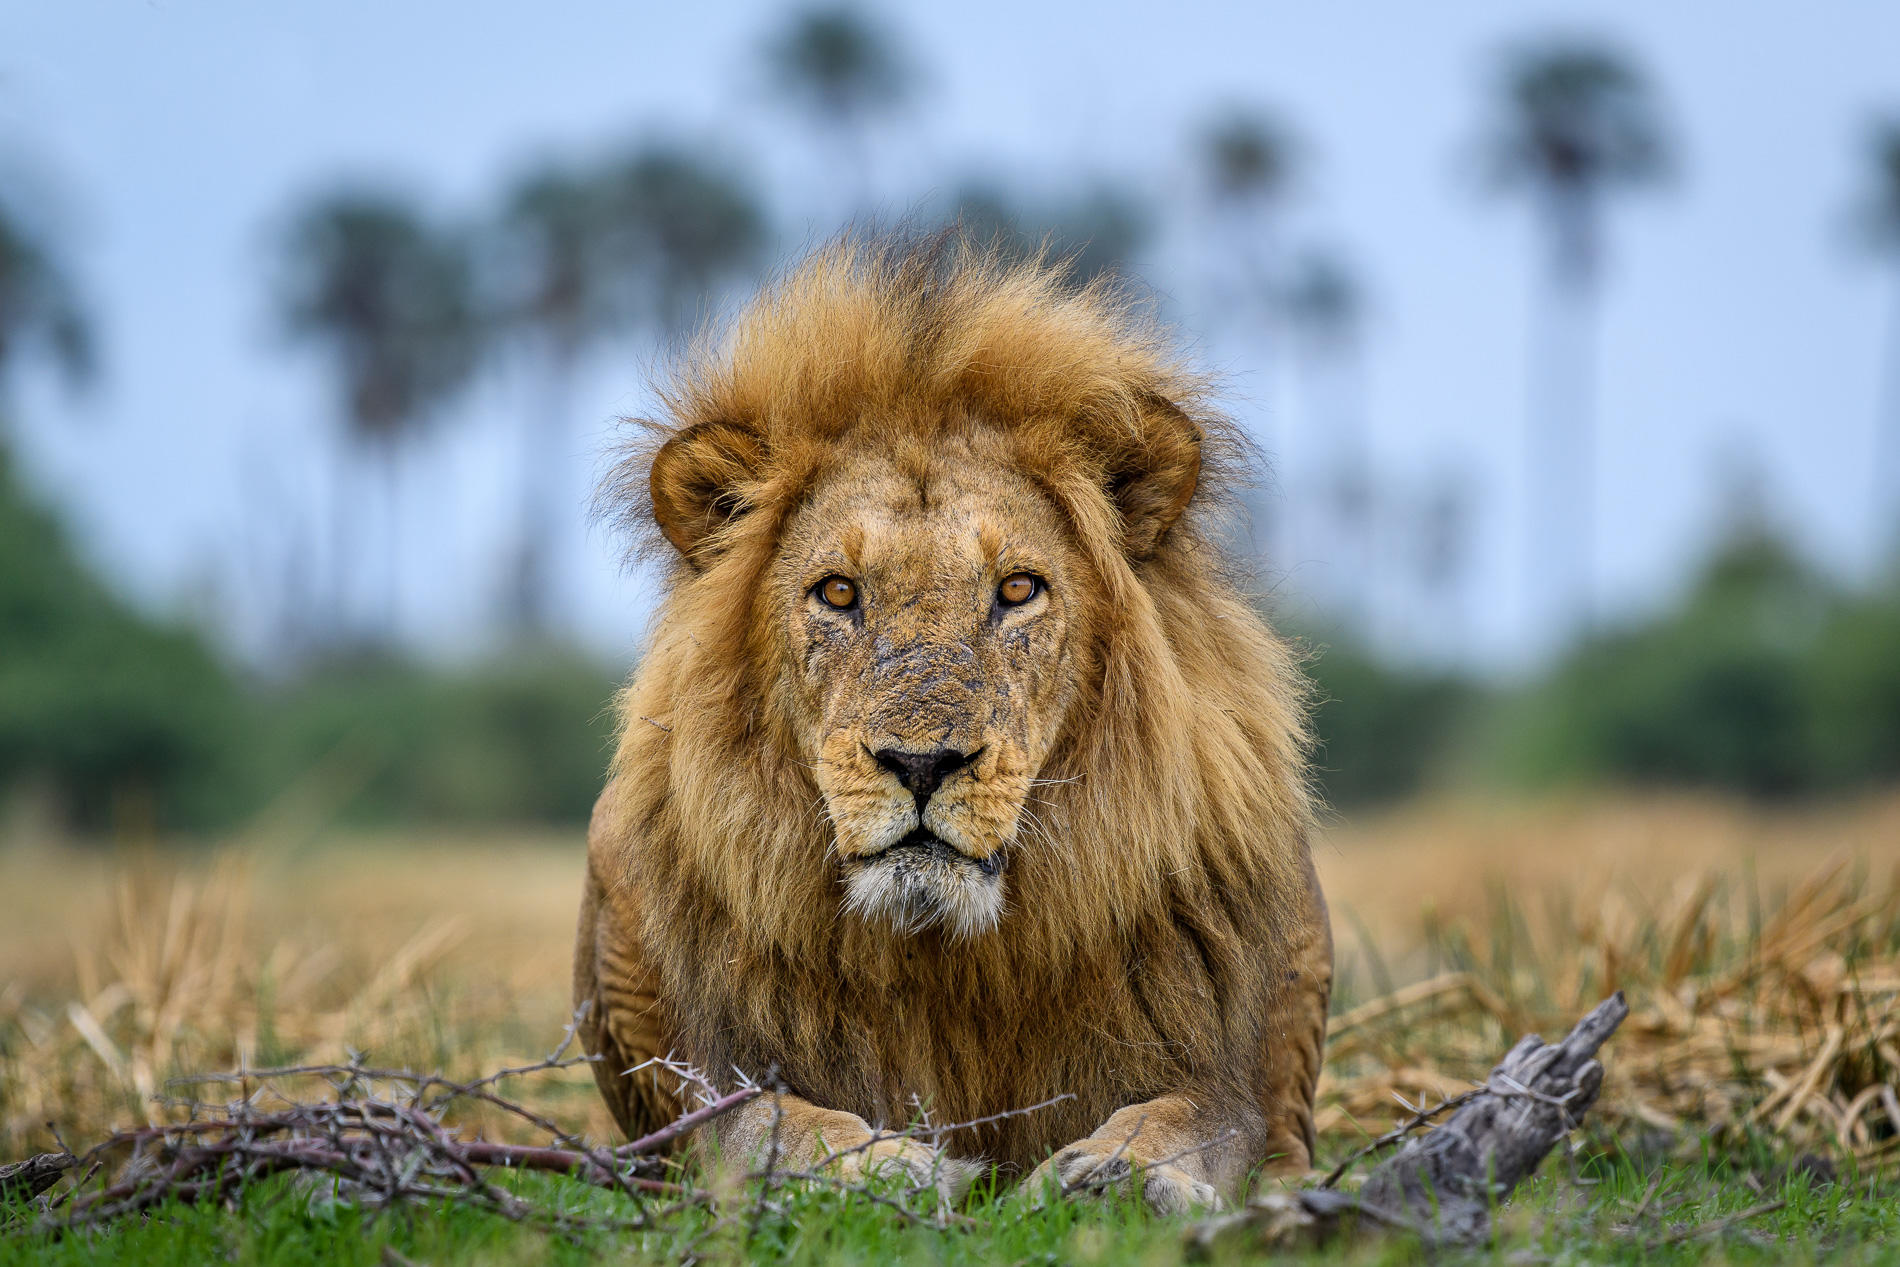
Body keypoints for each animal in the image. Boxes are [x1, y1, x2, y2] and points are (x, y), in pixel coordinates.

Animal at [574, 233, 1332, 1213]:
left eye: (1017, 589)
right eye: (838, 592)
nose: (922, 763)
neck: (951, 962)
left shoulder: (1242, 1097)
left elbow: (1186, 1119)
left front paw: (1114, 1174)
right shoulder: (715, 1089)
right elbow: (776, 1126)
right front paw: (886, 1168)